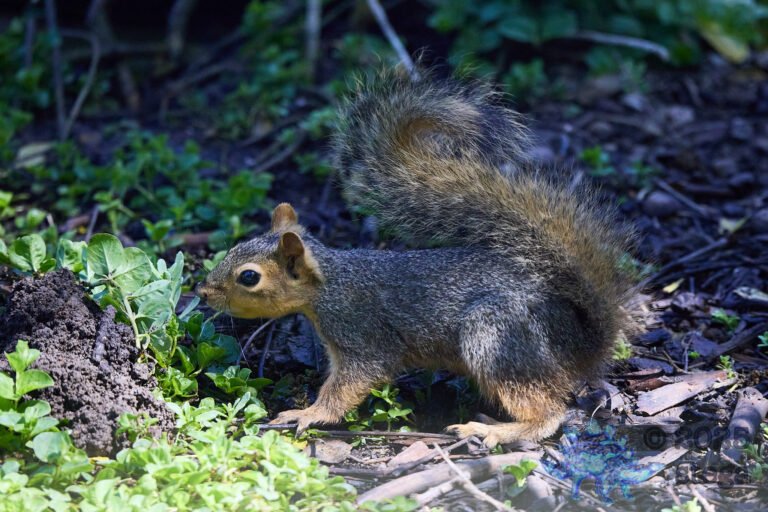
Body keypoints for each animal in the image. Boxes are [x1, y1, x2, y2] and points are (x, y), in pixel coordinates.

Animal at [196, 68, 637, 447]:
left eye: (249, 277)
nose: (203, 293)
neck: (332, 284)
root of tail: (581, 344)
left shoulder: (363, 336)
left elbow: (352, 383)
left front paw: (308, 413)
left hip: (498, 337)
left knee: (547, 411)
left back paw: (495, 430)